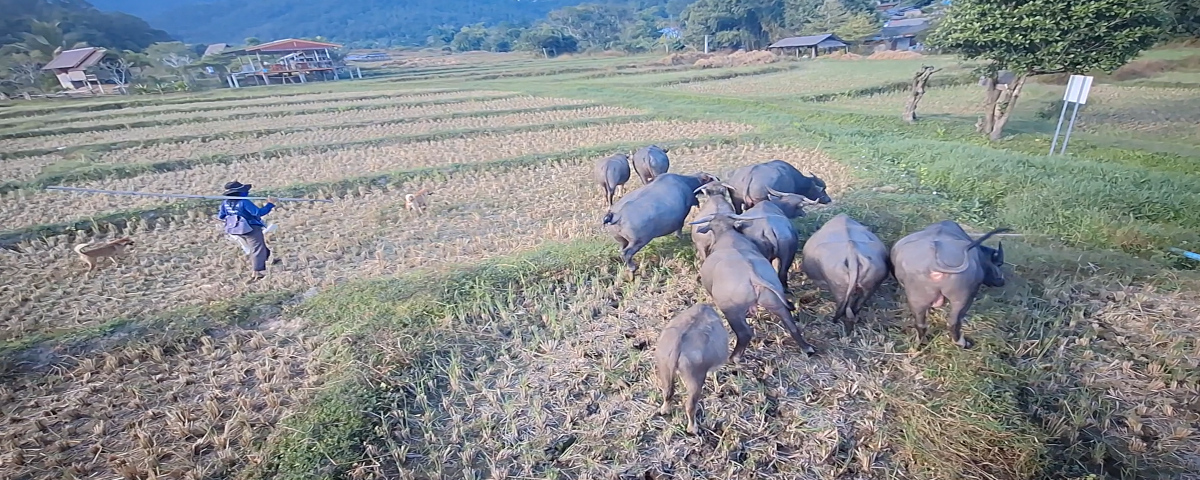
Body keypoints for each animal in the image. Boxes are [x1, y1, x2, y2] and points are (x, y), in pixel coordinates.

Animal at [655, 303, 730, 435]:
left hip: (664, 367)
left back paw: (665, 410)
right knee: (690, 405)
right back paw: (693, 428)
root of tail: (678, 344)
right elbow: (714, 374)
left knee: (667, 392)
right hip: (695, 379)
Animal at [691, 211, 817, 361]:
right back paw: (807, 348)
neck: (727, 234)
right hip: (775, 303)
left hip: (732, 311)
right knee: (791, 325)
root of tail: (752, 274)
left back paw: (734, 357)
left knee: (744, 333)